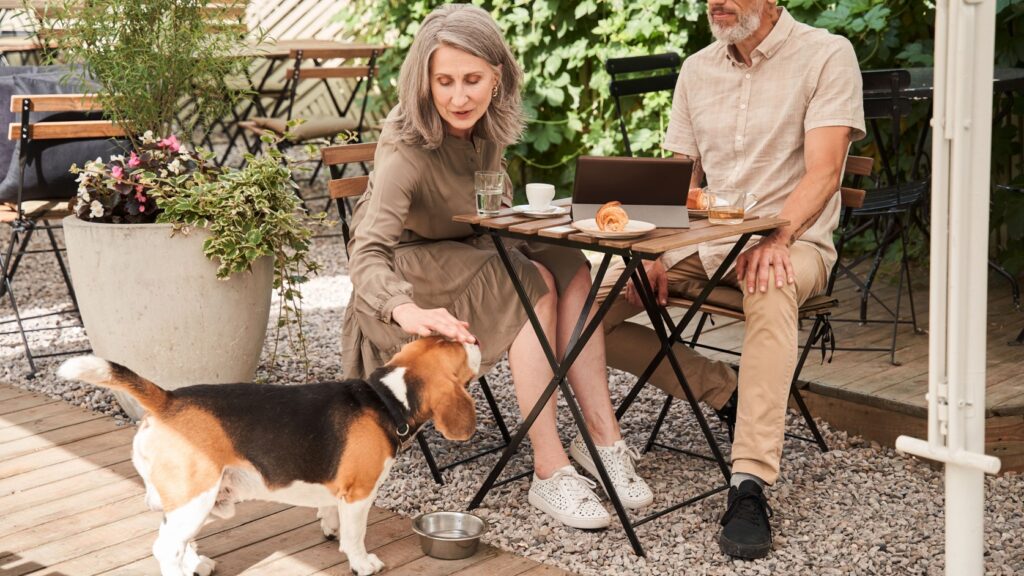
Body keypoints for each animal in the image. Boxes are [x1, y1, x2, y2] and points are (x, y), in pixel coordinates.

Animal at [58, 334, 481, 569]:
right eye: (455, 347)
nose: (474, 339)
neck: (386, 398)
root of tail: (168, 400)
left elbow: (329, 510)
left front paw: (329, 527)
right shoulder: (359, 495)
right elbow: (356, 536)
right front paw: (362, 563)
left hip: (187, 501)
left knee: (177, 541)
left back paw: (197, 564)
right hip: (195, 496)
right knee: (165, 550)